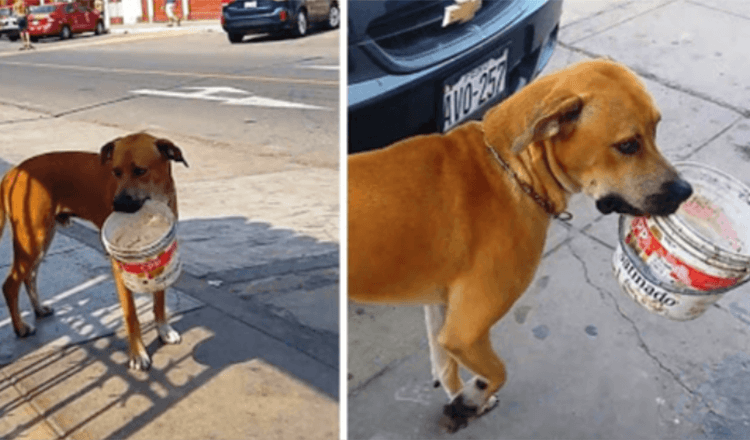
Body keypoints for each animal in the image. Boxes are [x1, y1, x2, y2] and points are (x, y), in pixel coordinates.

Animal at [0, 131, 188, 372]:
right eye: (116, 172)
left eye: (140, 171)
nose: (117, 205)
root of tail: (13, 172)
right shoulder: (119, 266)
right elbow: (131, 315)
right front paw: (138, 354)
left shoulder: (160, 253)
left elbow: (160, 300)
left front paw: (163, 330)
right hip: (31, 239)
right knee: (10, 284)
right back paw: (20, 327)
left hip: (42, 238)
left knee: (29, 276)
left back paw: (39, 309)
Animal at [350, 59, 696, 434]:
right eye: (628, 145)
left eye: (655, 131)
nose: (685, 191)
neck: (512, 168)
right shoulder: (465, 332)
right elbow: (498, 371)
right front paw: (472, 398)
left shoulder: (443, 311)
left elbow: (445, 366)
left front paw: (463, 398)